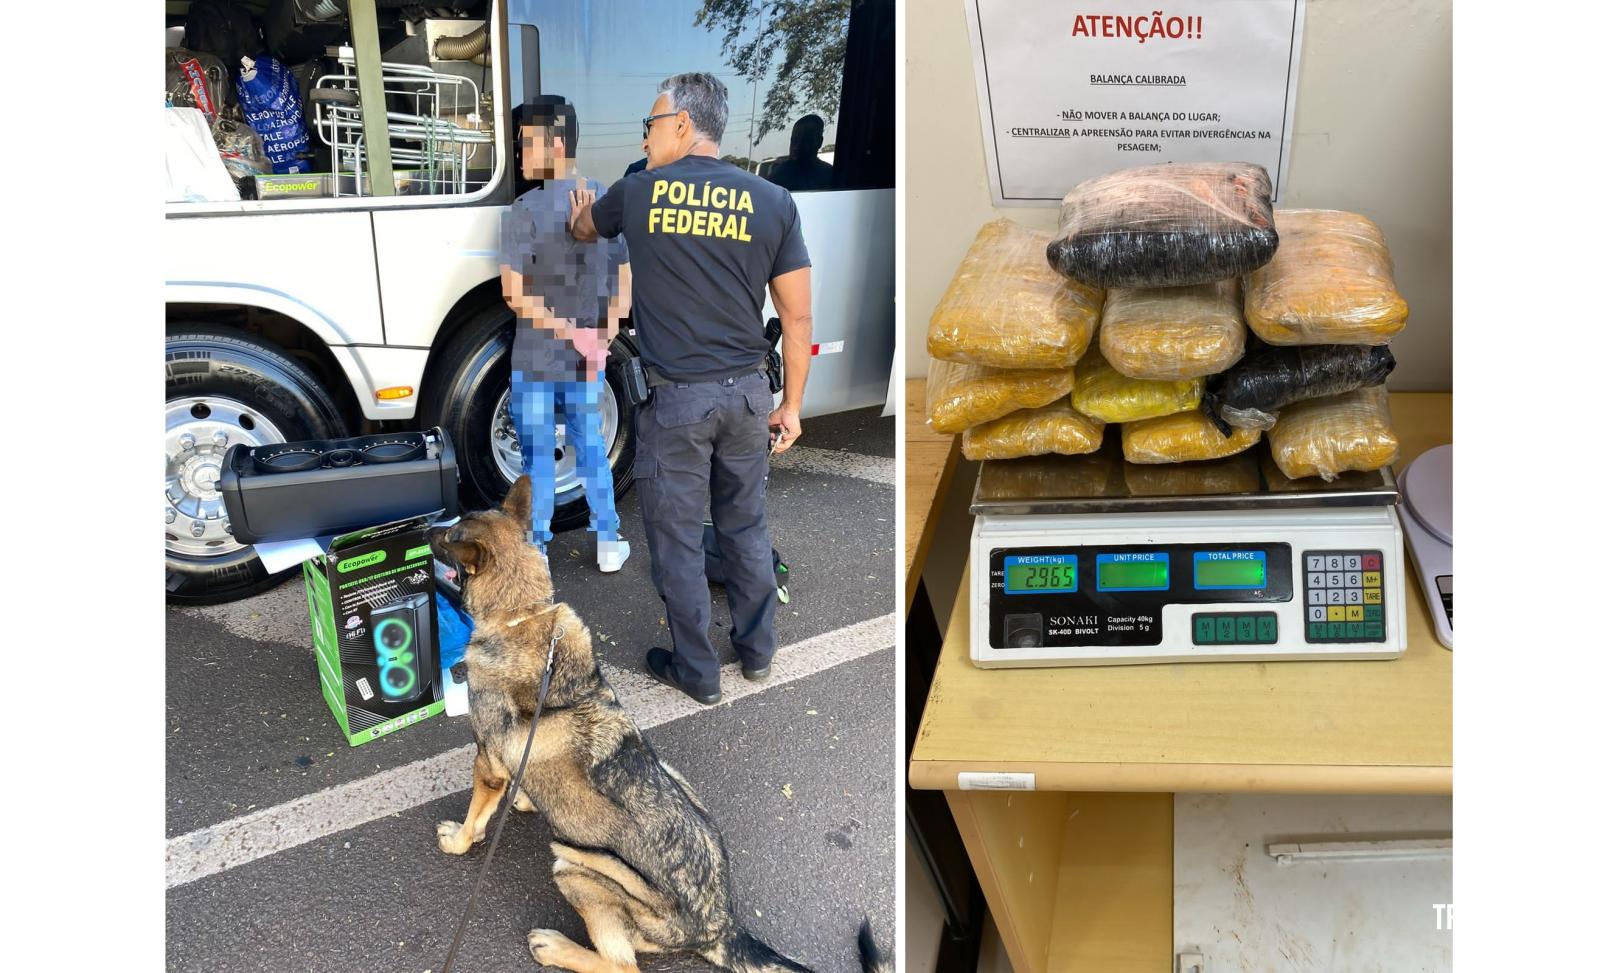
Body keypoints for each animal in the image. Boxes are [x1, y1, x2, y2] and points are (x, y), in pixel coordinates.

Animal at [428, 473, 889, 966]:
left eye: (450, 538)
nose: (425, 529)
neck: (522, 616)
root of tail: (720, 925)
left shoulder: (486, 764)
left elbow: (475, 818)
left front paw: (460, 839)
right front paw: (526, 800)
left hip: (578, 866)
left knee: (619, 964)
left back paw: (556, 947)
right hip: (673, 778)